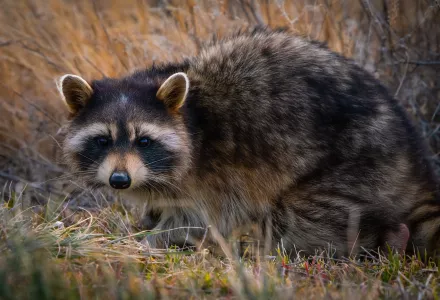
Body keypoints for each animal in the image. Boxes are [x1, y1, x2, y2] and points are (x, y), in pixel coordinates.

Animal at [57, 28, 440, 258]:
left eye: (145, 141)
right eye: (103, 140)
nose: (119, 180)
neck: (191, 117)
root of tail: (412, 159)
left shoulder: (214, 175)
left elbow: (194, 220)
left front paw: (145, 243)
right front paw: (146, 221)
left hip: (356, 166)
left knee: (306, 218)